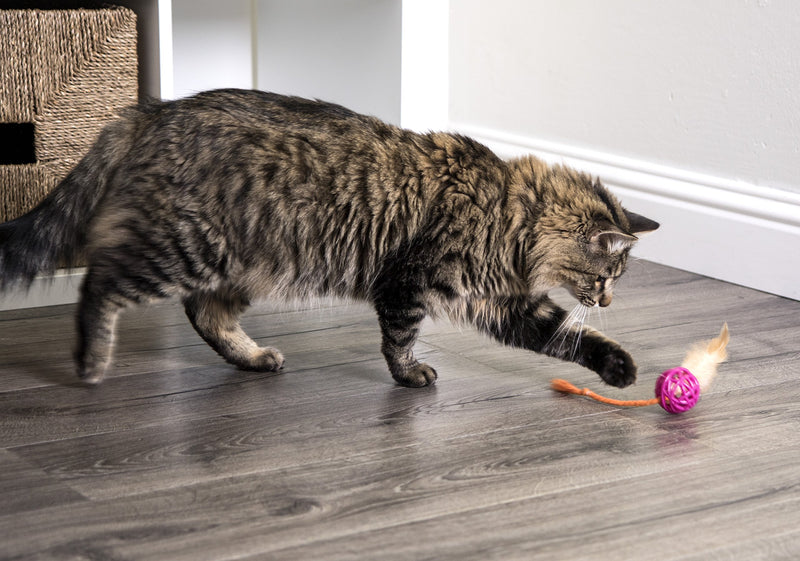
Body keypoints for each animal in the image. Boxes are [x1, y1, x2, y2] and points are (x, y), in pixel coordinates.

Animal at [0, 89, 656, 388]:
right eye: (606, 276)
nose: (609, 298)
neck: (510, 216)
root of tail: (157, 109)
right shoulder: (408, 282)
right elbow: (399, 340)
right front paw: (409, 376)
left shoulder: (503, 304)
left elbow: (572, 338)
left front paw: (620, 367)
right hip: (184, 249)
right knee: (99, 283)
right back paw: (91, 361)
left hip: (239, 264)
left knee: (205, 314)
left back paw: (254, 358)